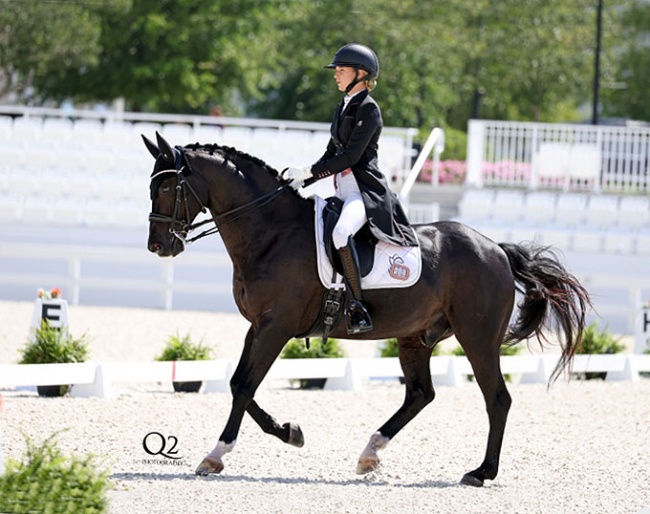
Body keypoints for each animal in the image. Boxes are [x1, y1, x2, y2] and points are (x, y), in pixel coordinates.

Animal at [144, 131, 588, 484]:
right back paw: (370, 453)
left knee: (496, 398)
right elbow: (239, 383)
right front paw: (290, 431)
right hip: (415, 337)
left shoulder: (277, 327)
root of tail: (495, 248)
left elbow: (245, 386)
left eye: (166, 189)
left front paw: (216, 455)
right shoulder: (258, 326)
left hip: (477, 339)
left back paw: (481, 472)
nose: (159, 246)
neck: (272, 233)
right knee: (420, 394)